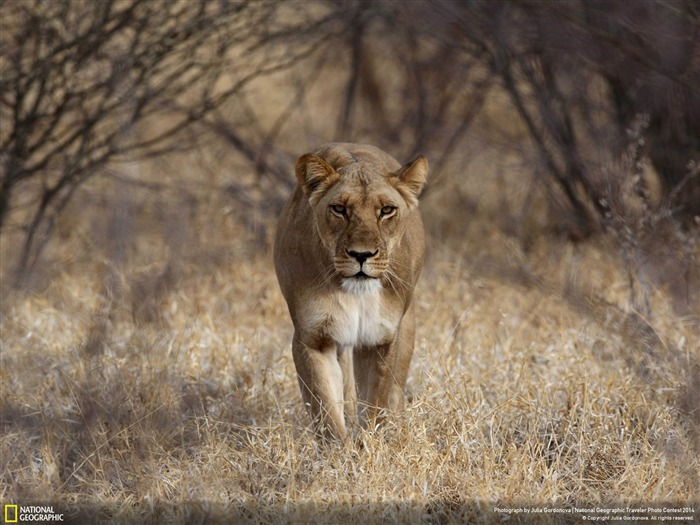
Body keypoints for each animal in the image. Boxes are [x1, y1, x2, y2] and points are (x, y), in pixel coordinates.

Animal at [272, 142, 426, 438]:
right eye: (339, 209)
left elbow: (377, 403)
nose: (361, 255)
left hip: (406, 326)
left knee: (395, 391)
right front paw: (341, 449)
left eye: (386, 210)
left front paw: (372, 443)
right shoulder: (313, 338)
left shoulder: (381, 338)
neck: (356, 294)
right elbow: (327, 412)